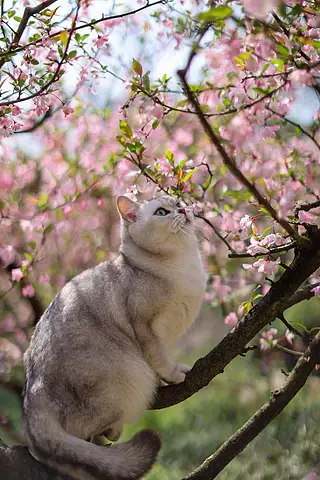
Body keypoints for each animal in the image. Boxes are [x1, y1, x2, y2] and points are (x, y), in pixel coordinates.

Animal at [23, 193, 208, 478]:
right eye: (162, 212)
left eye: (177, 203)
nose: (183, 210)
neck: (183, 264)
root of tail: (33, 392)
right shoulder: (147, 328)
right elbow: (159, 358)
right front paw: (172, 374)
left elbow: (161, 358)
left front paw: (168, 376)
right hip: (128, 376)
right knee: (77, 432)